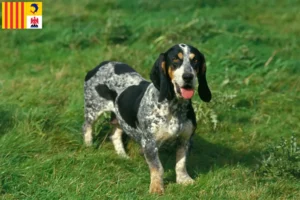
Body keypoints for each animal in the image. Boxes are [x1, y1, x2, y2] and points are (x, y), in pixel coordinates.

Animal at [82, 43, 211, 194]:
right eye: (175, 59)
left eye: (195, 60)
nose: (188, 76)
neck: (174, 106)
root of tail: (100, 65)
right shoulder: (149, 143)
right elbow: (158, 167)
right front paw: (156, 187)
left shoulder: (185, 140)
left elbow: (181, 163)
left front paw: (184, 180)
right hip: (93, 110)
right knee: (87, 127)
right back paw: (88, 146)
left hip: (120, 118)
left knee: (114, 135)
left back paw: (122, 155)